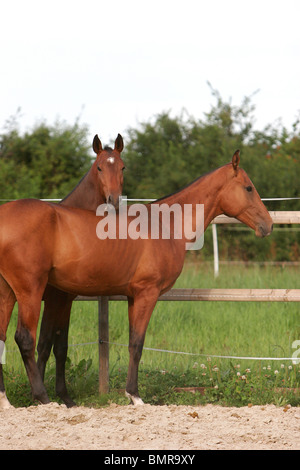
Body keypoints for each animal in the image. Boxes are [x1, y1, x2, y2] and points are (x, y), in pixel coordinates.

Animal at [0, 151, 272, 408]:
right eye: (249, 187)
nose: (267, 225)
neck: (165, 225)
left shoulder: (132, 297)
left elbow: (131, 343)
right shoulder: (146, 294)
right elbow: (138, 344)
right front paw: (135, 395)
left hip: (8, 293)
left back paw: (6, 400)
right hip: (30, 290)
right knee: (24, 338)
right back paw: (43, 397)